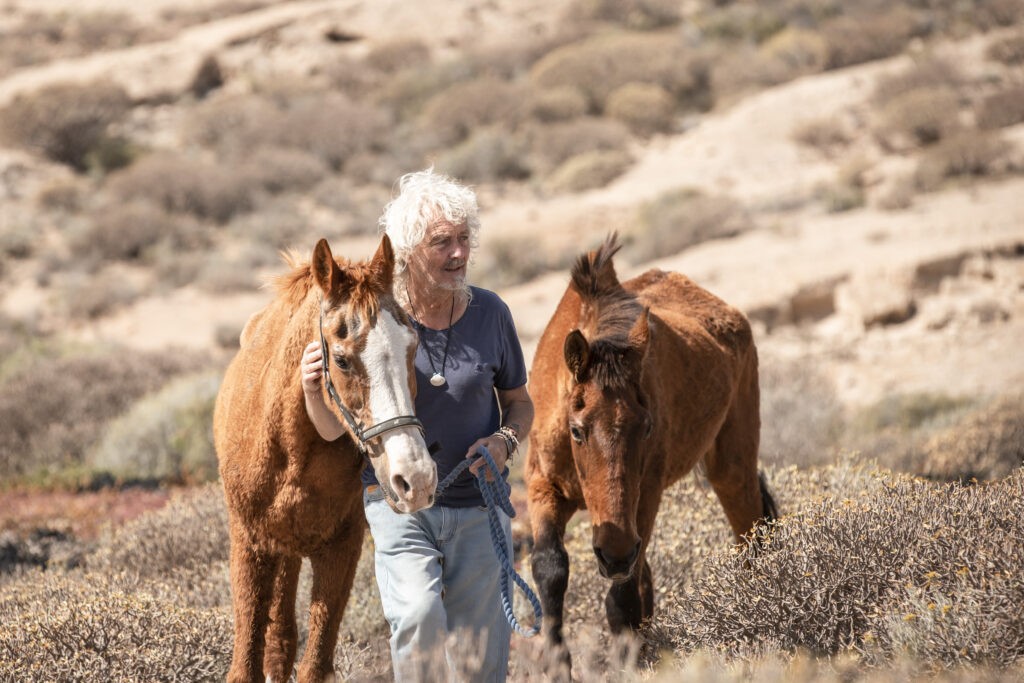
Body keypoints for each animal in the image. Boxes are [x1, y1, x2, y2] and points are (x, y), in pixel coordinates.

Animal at [214, 236, 437, 683]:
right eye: (342, 359)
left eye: (413, 348)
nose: (416, 479)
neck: (291, 451)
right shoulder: (249, 545)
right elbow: (245, 663)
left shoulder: (341, 550)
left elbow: (313, 663)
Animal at [525, 233, 777, 666]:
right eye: (576, 430)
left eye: (646, 427)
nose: (613, 555)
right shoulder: (544, 487)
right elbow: (550, 568)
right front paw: (557, 665)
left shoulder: (645, 498)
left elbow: (623, 601)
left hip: (731, 469)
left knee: (750, 538)